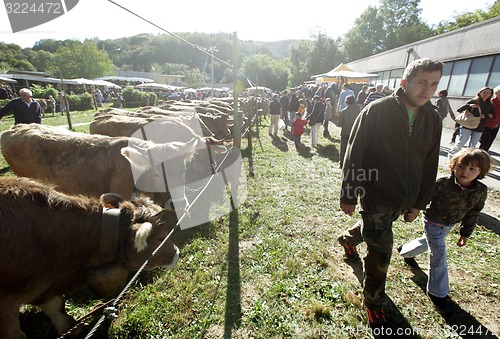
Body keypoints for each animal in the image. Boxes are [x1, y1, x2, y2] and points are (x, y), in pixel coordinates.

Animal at [0, 177, 179, 338]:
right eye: (161, 237)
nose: (176, 253)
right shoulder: (7, 305)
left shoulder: (45, 287)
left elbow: (57, 307)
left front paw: (72, 328)